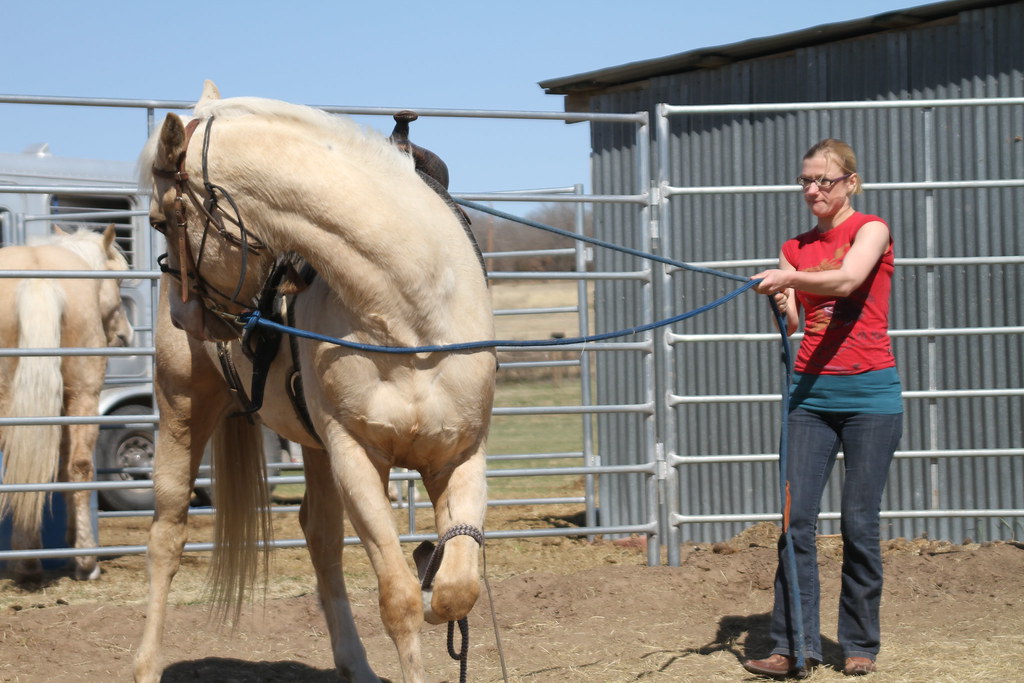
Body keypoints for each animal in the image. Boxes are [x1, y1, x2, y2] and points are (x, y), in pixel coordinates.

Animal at [0, 224, 133, 583]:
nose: (126, 334)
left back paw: (27, 561)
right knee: (80, 467)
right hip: (85, 392)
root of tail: (37, 277)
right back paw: (86, 561)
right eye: (119, 279)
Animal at [133, 81, 496, 683]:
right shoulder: (356, 456)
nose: (189, 319)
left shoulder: (458, 456)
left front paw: (433, 569)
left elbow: (454, 592)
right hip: (184, 410)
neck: (409, 314)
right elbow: (399, 600)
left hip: (313, 446)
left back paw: (355, 664)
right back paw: (145, 665)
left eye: (163, 221)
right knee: (167, 534)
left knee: (319, 535)